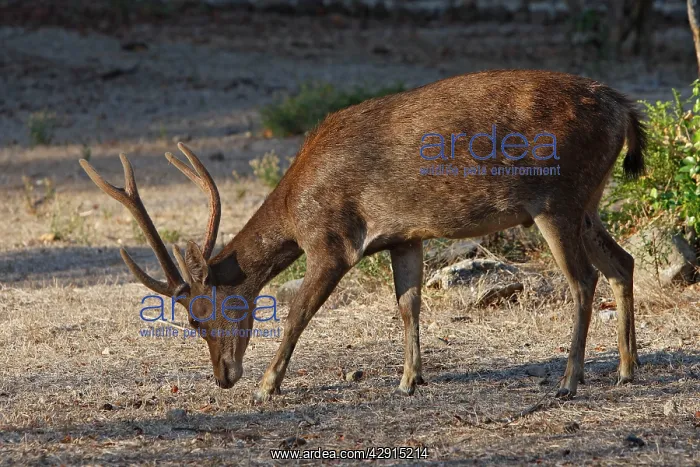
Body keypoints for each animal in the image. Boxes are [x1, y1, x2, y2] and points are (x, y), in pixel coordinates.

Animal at [80, 69, 645, 401]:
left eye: (196, 318)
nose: (223, 376)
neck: (296, 206)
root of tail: (625, 108)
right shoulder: (403, 235)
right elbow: (409, 303)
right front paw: (410, 379)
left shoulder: (333, 241)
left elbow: (298, 312)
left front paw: (266, 385)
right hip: (588, 201)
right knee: (624, 262)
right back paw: (626, 369)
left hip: (557, 198)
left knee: (584, 280)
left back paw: (570, 380)